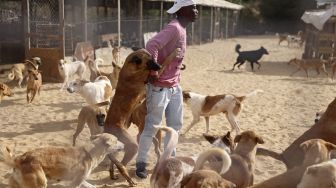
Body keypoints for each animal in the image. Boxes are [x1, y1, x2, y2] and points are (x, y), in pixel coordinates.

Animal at [0, 134, 134, 188]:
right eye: (116, 140)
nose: (124, 144)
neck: (90, 153)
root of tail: (20, 159)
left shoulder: (79, 180)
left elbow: (90, 185)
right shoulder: (75, 183)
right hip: (40, 183)